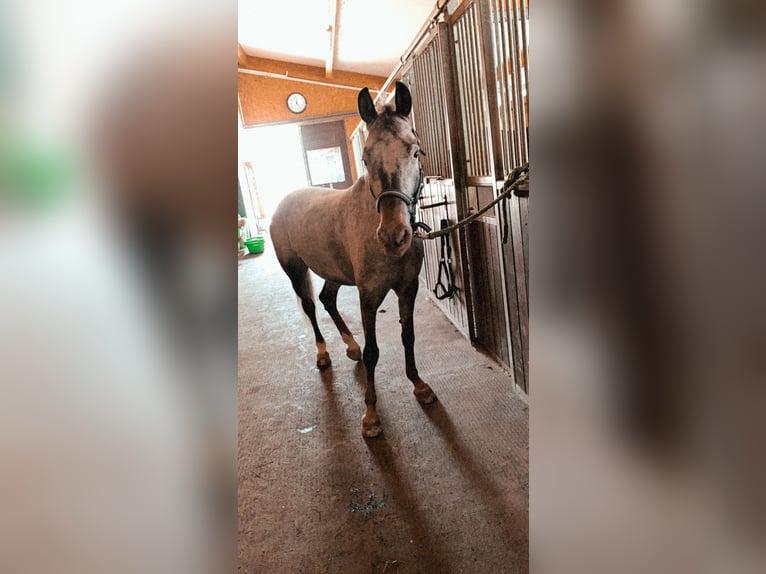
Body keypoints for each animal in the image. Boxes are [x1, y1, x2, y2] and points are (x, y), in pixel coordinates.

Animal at [270, 82, 438, 440]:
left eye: (415, 152)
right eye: (365, 157)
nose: (393, 237)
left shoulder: (407, 288)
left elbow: (408, 336)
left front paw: (419, 386)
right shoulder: (369, 296)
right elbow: (375, 352)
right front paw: (371, 416)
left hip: (333, 272)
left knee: (327, 299)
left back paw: (351, 347)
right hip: (295, 269)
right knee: (311, 306)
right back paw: (324, 354)